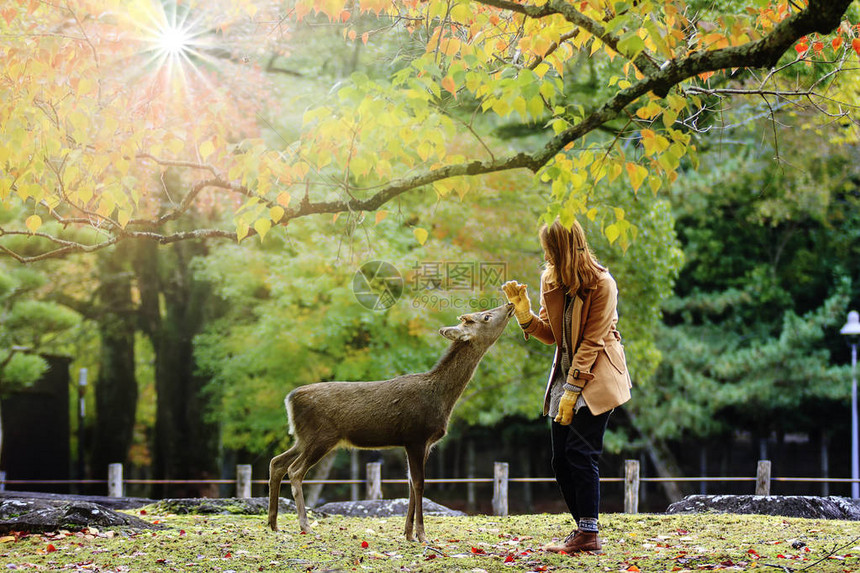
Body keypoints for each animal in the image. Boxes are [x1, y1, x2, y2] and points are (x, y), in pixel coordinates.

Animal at [266, 302, 512, 544]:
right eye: (486, 316)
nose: (509, 304)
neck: (441, 398)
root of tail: (290, 398)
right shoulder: (416, 436)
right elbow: (419, 483)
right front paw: (423, 535)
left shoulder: (422, 443)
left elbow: (410, 483)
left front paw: (408, 533)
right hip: (321, 436)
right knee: (295, 470)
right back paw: (305, 525)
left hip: (303, 437)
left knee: (277, 462)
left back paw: (274, 524)